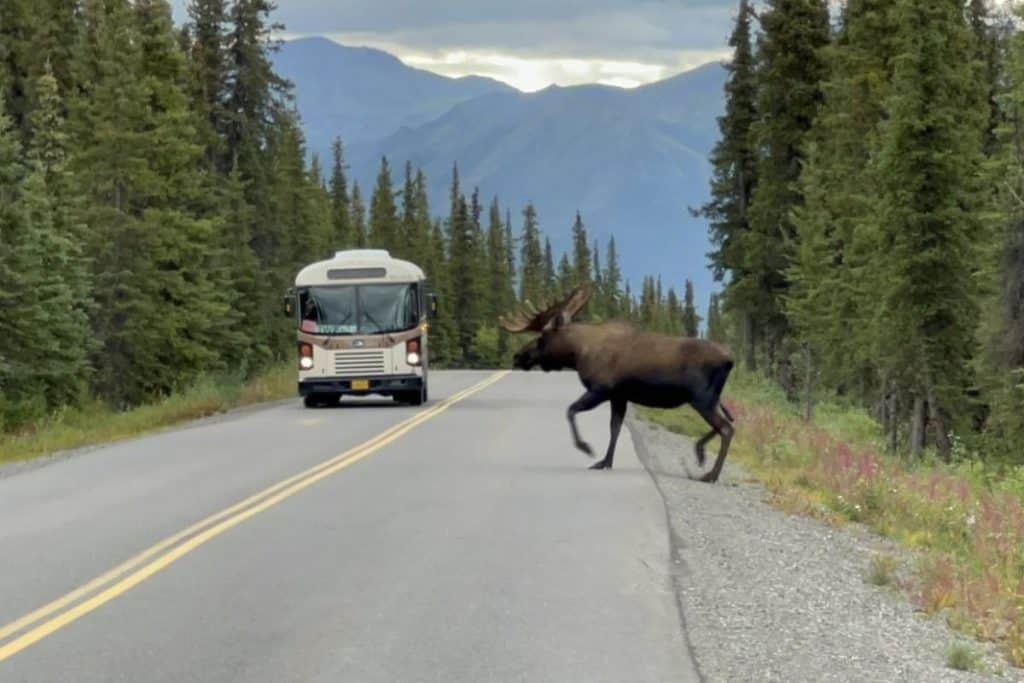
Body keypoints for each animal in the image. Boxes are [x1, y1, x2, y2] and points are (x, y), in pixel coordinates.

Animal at [500, 284, 736, 482]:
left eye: (542, 337)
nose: (518, 356)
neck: (577, 353)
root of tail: (730, 361)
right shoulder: (619, 396)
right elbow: (615, 428)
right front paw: (605, 462)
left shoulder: (601, 389)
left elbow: (571, 410)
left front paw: (586, 448)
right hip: (710, 399)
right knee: (728, 423)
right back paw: (700, 451)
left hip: (701, 398)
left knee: (726, 428)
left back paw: (711, 474)